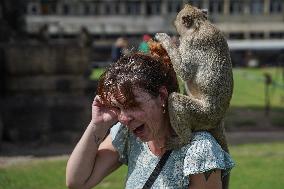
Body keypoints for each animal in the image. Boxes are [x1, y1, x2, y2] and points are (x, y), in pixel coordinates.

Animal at [155, 3, 233, 153]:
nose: (176, 30)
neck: (200, 23)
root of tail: (218, 120)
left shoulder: (190, 43)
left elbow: (184, 71)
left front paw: (165, 40)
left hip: (203, 115)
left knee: (175, 100)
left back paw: (183, 140)